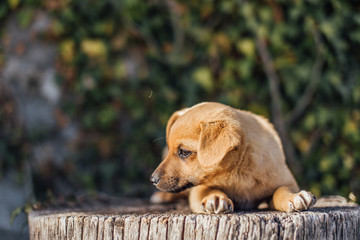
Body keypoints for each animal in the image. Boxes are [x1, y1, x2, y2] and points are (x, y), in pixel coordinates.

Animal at [149, 102, 316, 213]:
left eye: (184, 152)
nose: (152, 179)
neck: (240, 174)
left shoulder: (286, 181)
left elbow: (281, 190)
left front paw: (293, 197)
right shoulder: (199, 188)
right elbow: (208, 189)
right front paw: (215, 197)